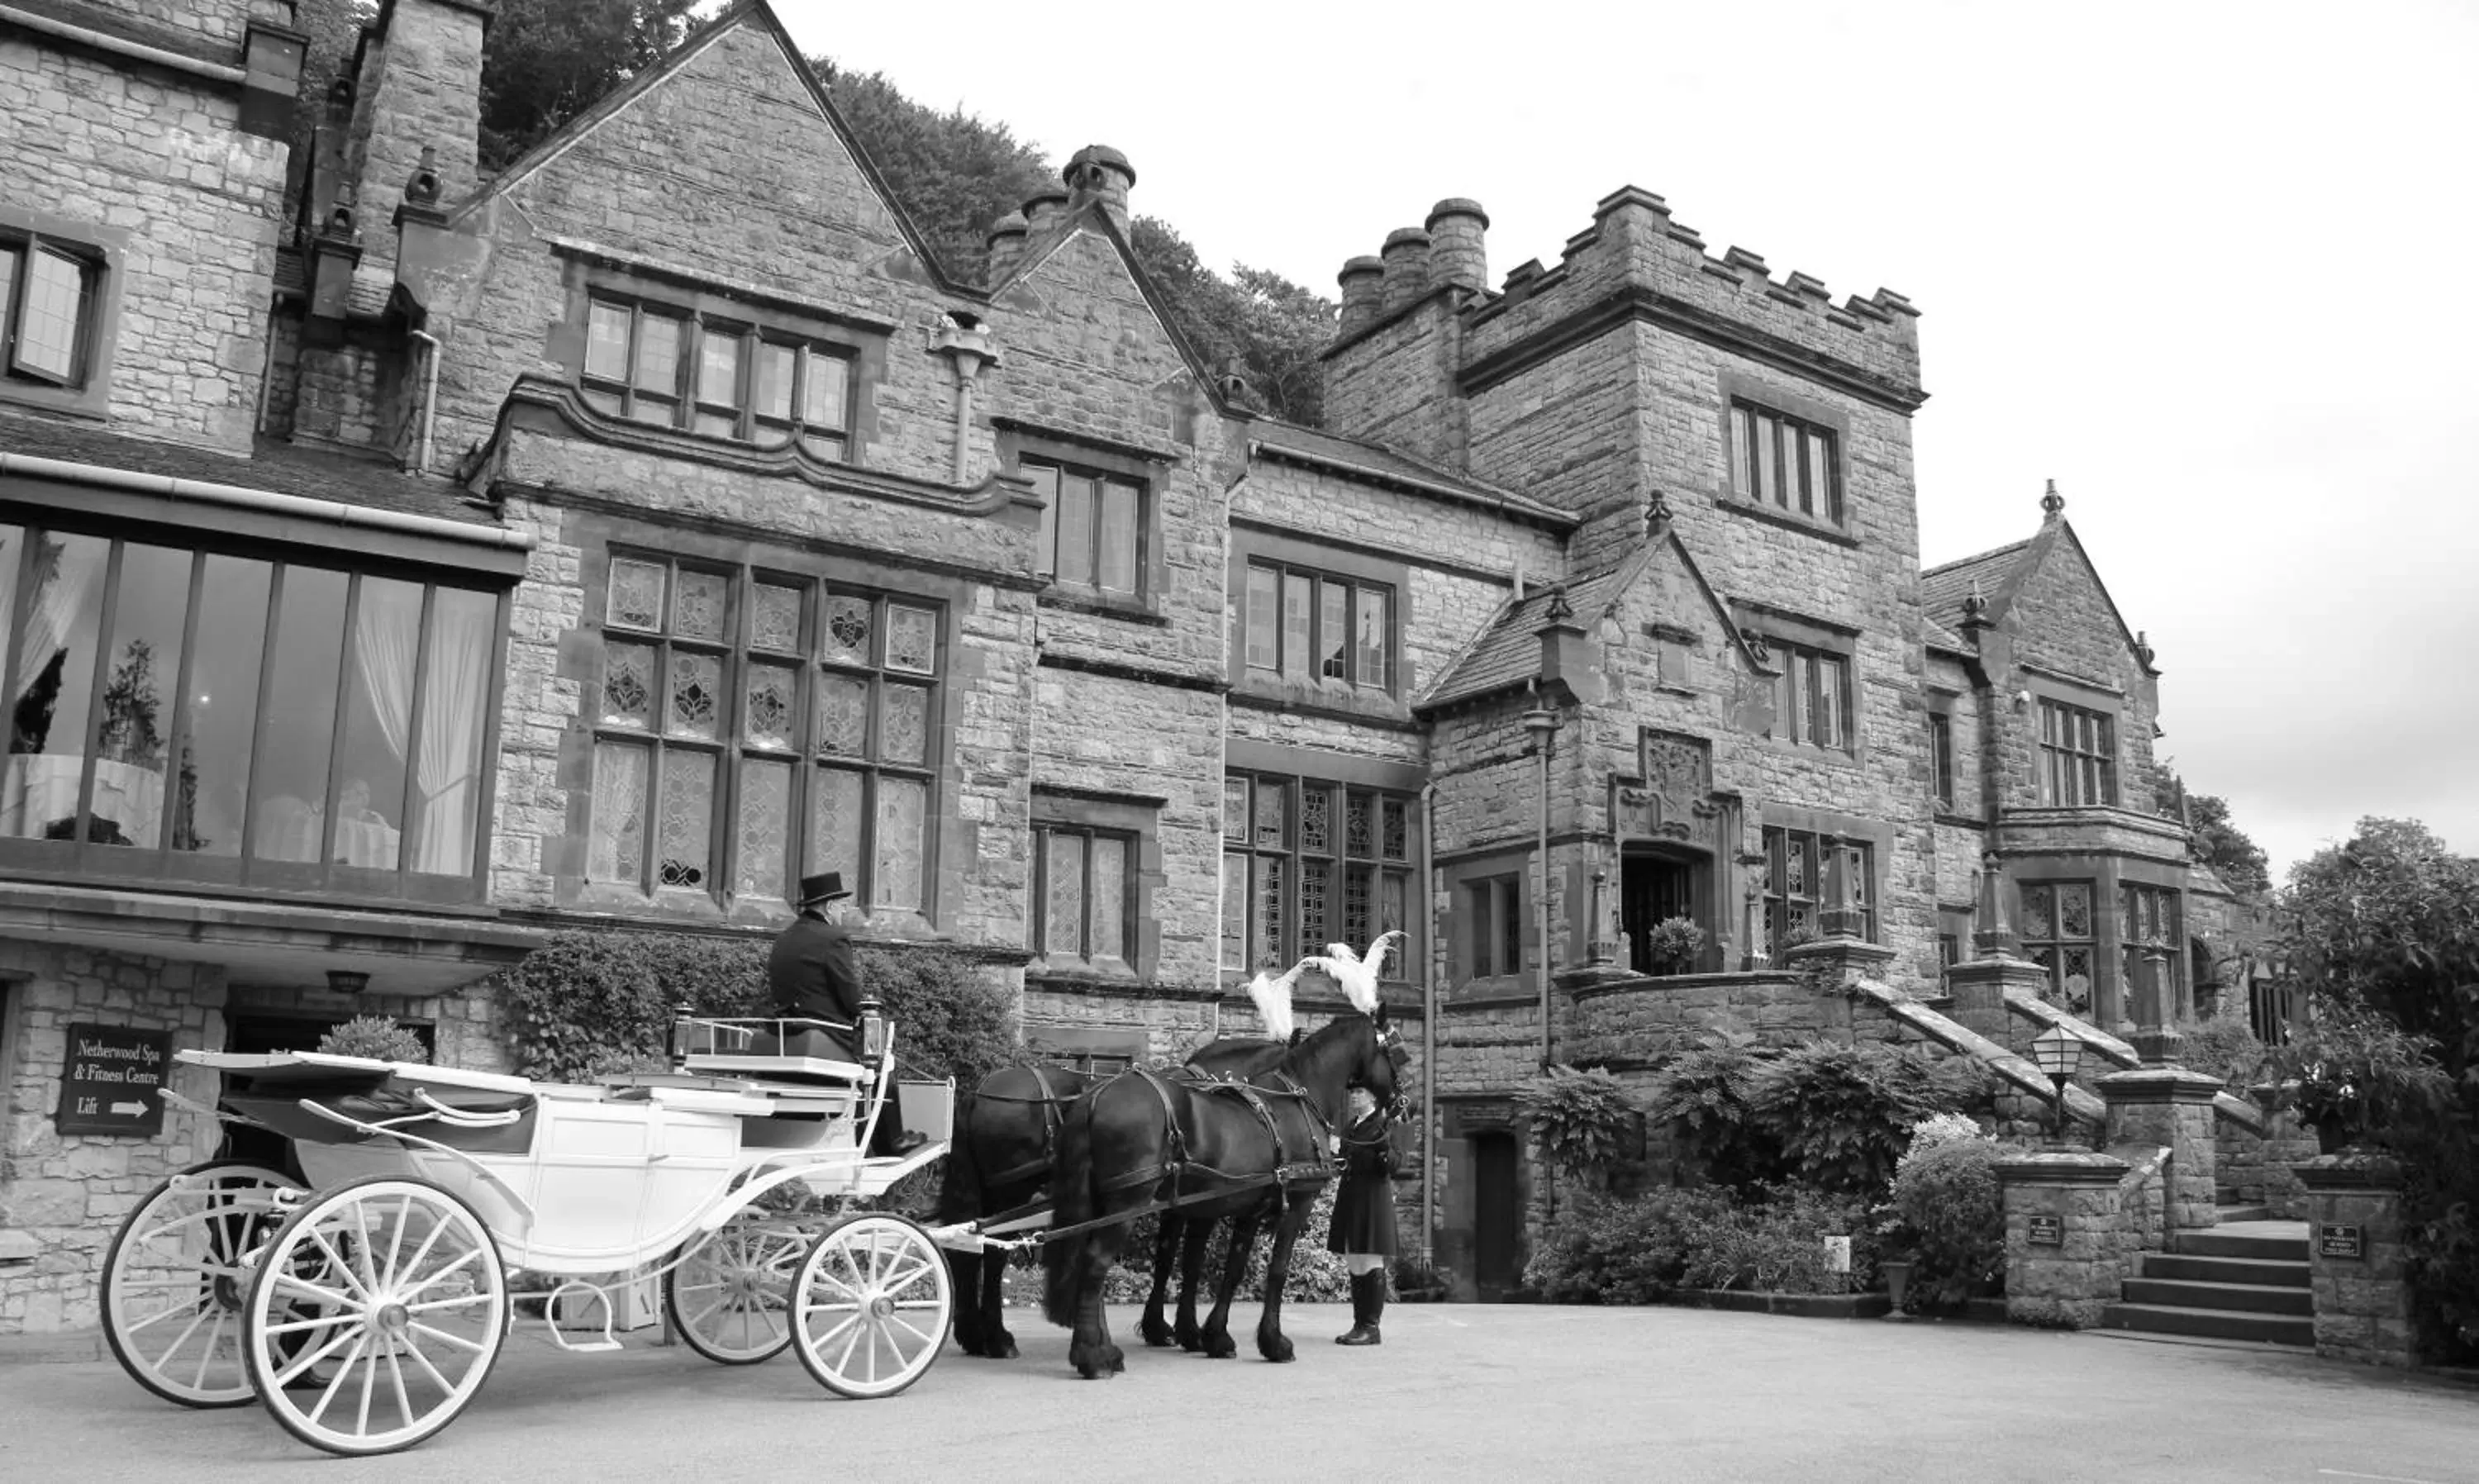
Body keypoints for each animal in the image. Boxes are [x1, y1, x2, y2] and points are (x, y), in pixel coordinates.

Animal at [932, 1035, 1299, 1358]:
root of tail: (980, 1092)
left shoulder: (1181, 1205)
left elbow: (1169, 1258)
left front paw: (1166, 1328)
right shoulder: (1193, 1205)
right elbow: (1185, 1262)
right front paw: (1185, 1332)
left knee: (970, 1251)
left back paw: (976, 1335)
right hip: (1012, 1191)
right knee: (993, 1257)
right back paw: (998, 1338)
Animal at [1041, 1011, 1398, 1377]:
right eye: (1396, 1051)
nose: (1403, 1104)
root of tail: (1096, 1095)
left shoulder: (1242, 1209)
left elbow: (1227, 1268)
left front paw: (1213, 1336)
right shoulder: (1296, 1204)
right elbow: (1276, 1270)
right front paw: (1274, 1342)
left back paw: (1103, 1350)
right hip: (1128, 1202)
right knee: (1096, 1262)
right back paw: (1093, 1357)